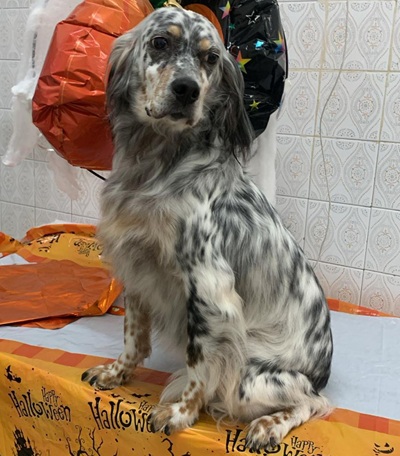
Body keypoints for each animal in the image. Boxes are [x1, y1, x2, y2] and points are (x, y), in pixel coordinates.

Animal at [81, 7, 333, 451]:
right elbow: (132, 336)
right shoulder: (136, 266)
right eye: (160, 42)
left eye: (211, 58)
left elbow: (199, 361)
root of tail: (322, 374)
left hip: (251, 378)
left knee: (311, 403)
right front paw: (117, 373)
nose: (187, 90)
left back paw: (268, 425)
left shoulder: (208, 288)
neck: (158, 163)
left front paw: (182, 412)